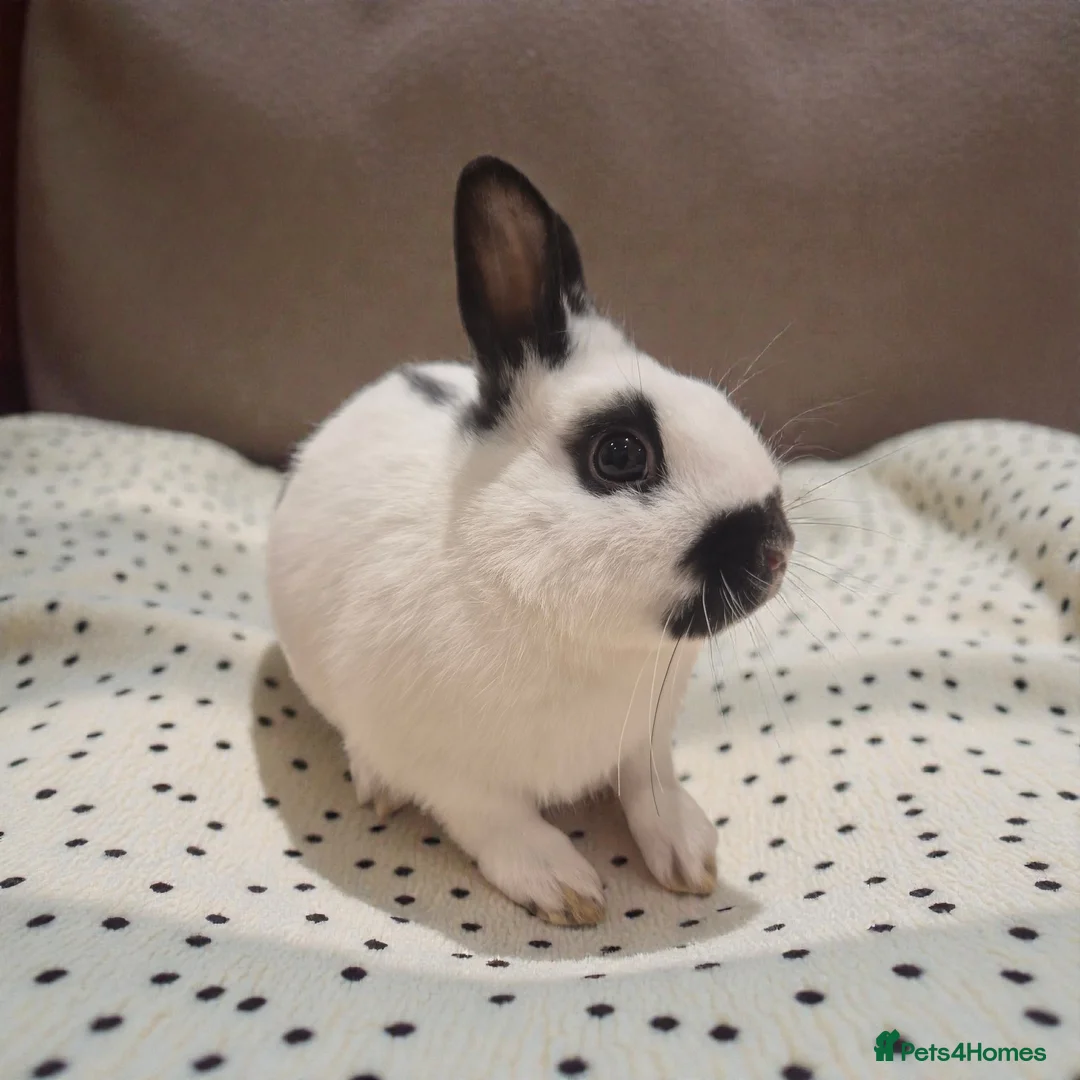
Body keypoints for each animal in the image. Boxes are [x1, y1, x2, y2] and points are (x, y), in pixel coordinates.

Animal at [266, 156, 794, 926]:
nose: (777, 551)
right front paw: (565, 889)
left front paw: (690, 856)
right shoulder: (448, 770)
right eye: (620, 454)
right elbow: (497, 822)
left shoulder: (644, 739)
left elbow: (651, 787)